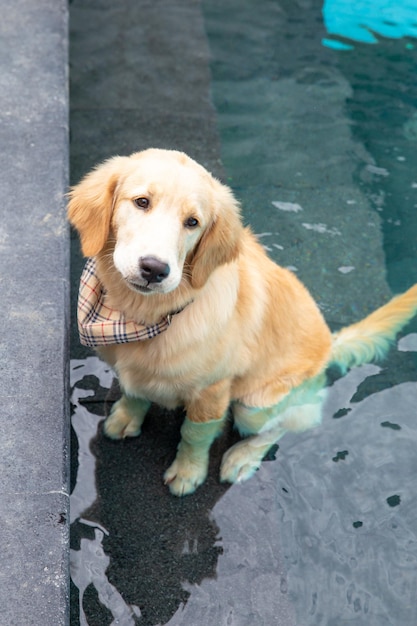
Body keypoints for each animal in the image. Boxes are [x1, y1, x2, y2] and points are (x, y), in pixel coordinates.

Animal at [68, 149, 416, 494]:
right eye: (141, 202)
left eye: (192, 222)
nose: (154, 269)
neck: (145, 316)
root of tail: (330, 344)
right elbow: (135, 393)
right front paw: (127, 417)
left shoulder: (212, 391)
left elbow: (194, 435)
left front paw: (188, 472)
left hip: (255, 405)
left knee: (287, 424)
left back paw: (243, 457)